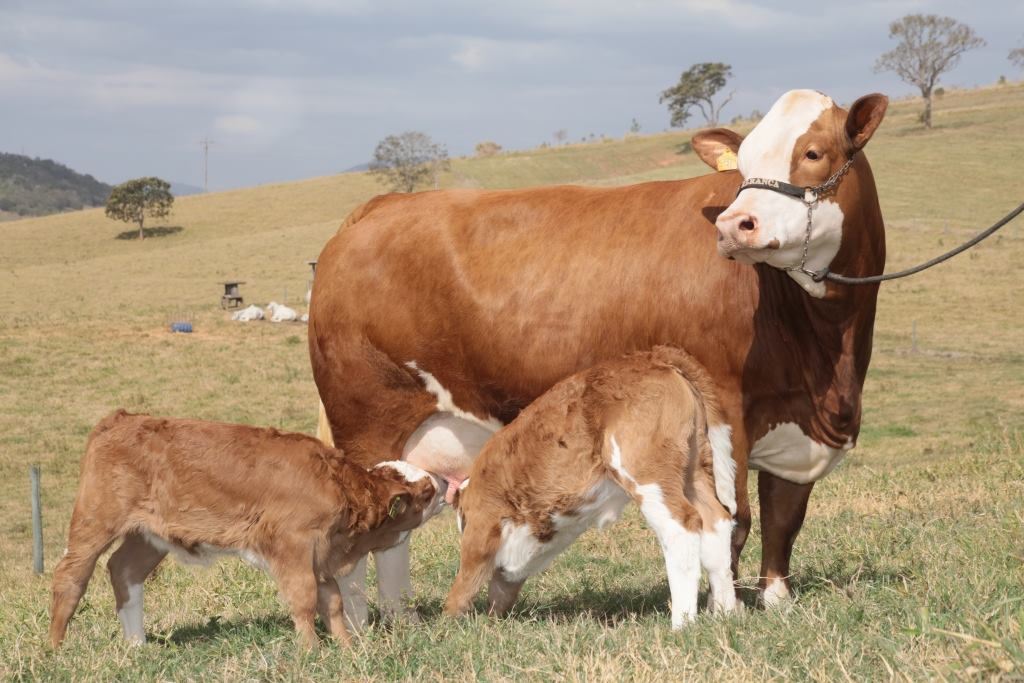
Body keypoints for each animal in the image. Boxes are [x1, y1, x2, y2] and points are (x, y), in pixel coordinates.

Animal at [48, 409, 440, 651]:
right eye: (425, 492)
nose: (444, 484)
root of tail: (122, 419)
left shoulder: (320, 555)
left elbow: (331, 602)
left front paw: (345, 646)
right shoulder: (292, 547)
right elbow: (304, 599)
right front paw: (311, 650)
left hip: (148, 536)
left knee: (124, 570)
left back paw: (137, 644)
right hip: (95, 521)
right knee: (70, 577)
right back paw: (56, 647)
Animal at [446, 350, 737, 626]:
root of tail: (654, 357)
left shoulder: (482, 522)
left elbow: (467, 576)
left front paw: (450, 621)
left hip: (648, 473)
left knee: (682, 526)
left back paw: (682, 624)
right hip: (694, 469)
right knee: (716, 522)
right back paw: (724, 614)